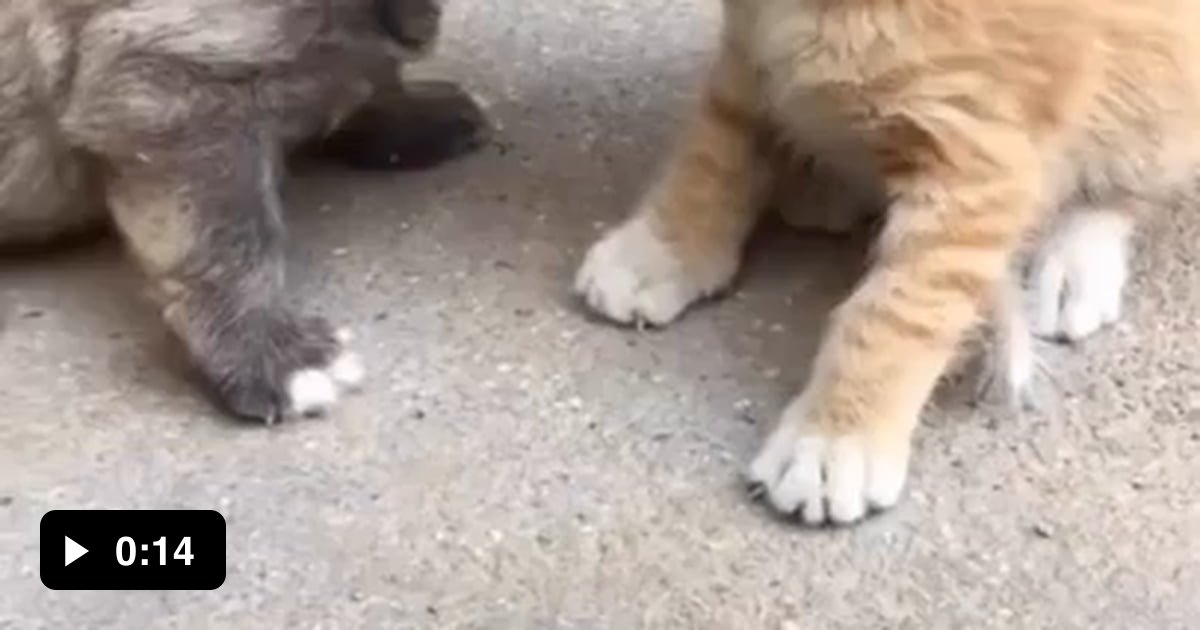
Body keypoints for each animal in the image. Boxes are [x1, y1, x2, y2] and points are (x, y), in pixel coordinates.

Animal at [576, 0, 1195, 523]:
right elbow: (714, 152)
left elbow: (894, 311)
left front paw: (835, 439)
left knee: (1128, 187)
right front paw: (659, 251)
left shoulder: (975, 163)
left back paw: (1075, 265)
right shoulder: (748, 55)